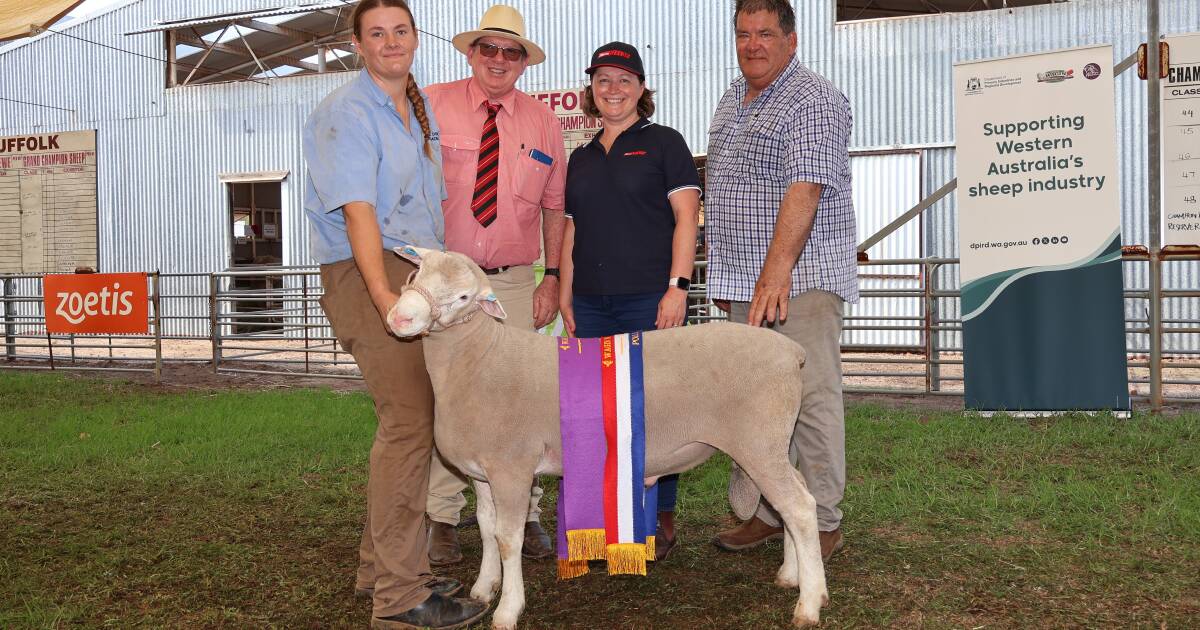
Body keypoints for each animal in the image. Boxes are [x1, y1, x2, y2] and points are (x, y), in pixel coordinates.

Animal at [384, 247, 825, 628]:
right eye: (416, 275)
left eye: (463, 296)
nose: (400, 319)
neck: (480, 358)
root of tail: (792, 352)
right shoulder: (482, 472)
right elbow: (486, 526)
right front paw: (482, 588)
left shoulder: (513, 468)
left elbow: (508, 538)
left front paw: (508, 610)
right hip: (774, 444)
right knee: (794, 500)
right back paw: (792, 575)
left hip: (758, 444)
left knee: (800, 507)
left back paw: (810, 603)